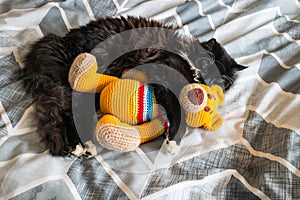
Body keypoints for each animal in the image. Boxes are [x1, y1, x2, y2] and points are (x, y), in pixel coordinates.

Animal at [21, 16, 246, 156]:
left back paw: (81, 147)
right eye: (207, 61)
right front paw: (172, 142)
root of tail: (56, 42)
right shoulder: (164, 76)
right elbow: (178, 111)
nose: (204, 76)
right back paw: (80, 146)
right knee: (65, 114)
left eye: (221, 81)